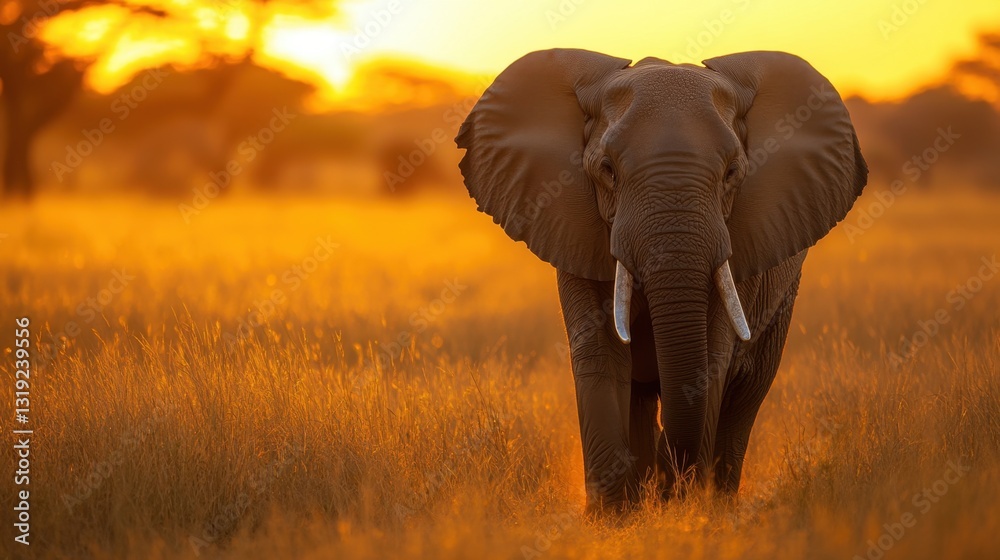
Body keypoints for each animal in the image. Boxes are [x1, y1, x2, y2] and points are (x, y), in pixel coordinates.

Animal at [455, 49, 867, 510]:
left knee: (747, 394)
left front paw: (682, 509)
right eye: (607, 170)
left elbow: (711, 362)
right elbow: (601, 354)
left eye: (732, 173)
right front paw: (612, 517)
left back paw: (714, 503)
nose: (670, 485)